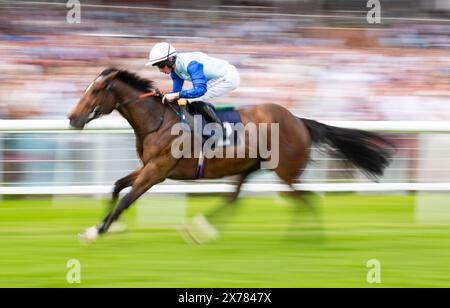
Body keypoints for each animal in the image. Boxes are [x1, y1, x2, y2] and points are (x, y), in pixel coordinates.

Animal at [67, 68, 394, 241]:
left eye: (95, 92)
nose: (72, 119)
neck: (158, 120)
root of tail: (300, 120)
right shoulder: (149, 166)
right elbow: (117, 186)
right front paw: (103, 226)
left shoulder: (157, 171)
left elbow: (127, 198)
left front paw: (99, 231)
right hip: (249, 166)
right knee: (234, 199)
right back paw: (200, 229)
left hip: (285, 171)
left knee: (306, 198)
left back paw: (305, 237)